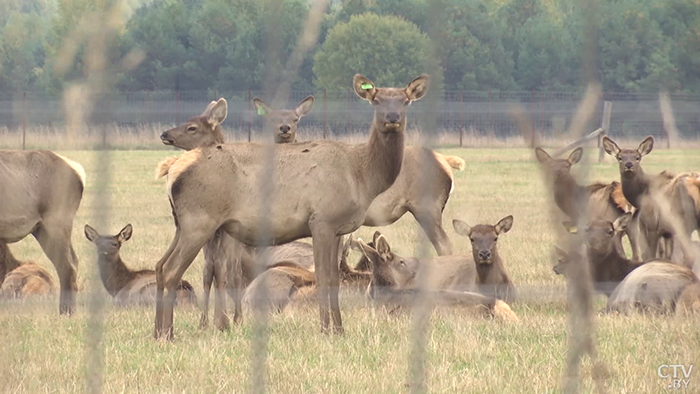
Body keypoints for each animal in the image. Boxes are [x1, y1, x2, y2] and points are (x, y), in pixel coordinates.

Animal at [0, 149, 84, 316]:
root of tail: (78, 174)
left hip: (56, 223)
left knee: (67, 264)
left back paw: (66, 311)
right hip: (41, 230)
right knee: (71, 261)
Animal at [154, 75, 432, 340]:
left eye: (405, 101)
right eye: (375, 100)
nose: (392, 118)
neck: (362, 176)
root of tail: (173, 171)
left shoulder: (338, 229)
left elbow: (334, 279)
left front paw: (339, 329)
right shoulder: (321, 220)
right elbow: (324, 276)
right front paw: (326, 329)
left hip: (183, 224)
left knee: (160, 265)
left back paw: (158, 331)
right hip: (200, 220)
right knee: (172, 269)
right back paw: (168, 333)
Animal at [252, 96, 464, 255]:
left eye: (296, 119)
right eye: (273, 119)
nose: (284, 128)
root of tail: (446, 162)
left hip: (427, 205)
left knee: (445, 245)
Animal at [600, 135, 696, 268]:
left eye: (637, 157)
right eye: (620, 157)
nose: (628, 165)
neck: (640, 198)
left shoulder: (652, 224)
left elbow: (650, 255)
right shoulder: (667, 232)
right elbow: (667, 257)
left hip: (683, 223)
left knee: (689, 255)